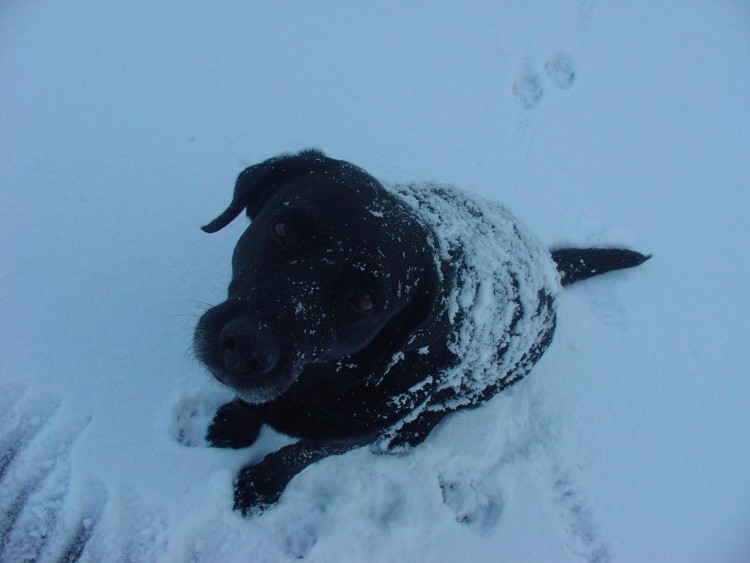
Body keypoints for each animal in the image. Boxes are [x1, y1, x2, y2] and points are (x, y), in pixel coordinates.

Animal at [195, 150, 652, 516]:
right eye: (283, 230)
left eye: (365, 300)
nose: (246, 348)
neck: (327, 375)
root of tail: (549, 263)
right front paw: (236, 421)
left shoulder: (353, 434)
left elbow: (298, 455)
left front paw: (262, 487)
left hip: (491, 380)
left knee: (448, 406)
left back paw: (413, 431)